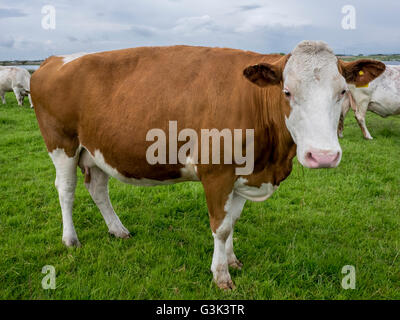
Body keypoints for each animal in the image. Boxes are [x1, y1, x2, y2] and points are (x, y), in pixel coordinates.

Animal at [30, 40, 384, 290]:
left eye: (342, 91)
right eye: (287, 91)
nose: (323, 156)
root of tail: (53, 60)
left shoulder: (243, 174)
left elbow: (233, 221)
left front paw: (232, 260)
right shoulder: (217, 172)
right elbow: (221, 226)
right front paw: (221, 275)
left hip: (96, 149)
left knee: (98, 188)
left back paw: (118, 230)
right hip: (61, 144)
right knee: (66, 190)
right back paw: (70, 239)